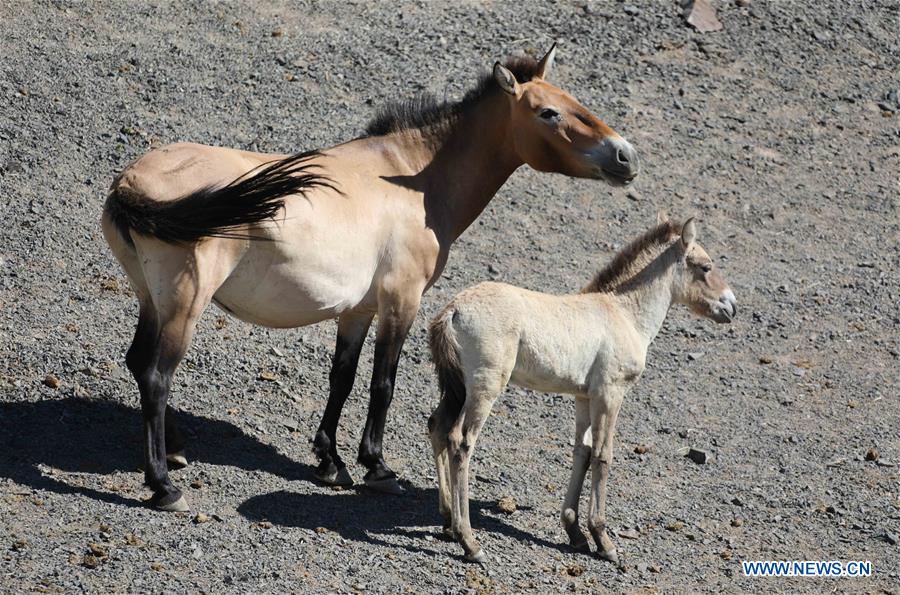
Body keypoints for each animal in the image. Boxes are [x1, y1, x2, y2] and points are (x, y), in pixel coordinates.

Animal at [100, 46, 640, 512]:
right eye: (548, 112)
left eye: (575, 101)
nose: (626, 157)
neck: (414, 180)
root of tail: (131, 181)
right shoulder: (401, 301)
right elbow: (384, 381)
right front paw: (376, 467)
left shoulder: (357, 310)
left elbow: (342, 377)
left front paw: (330, 461)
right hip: (185, 304)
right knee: (157, 376)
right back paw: (163, 484)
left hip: (153, 300)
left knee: (139, 364)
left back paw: (175, 450)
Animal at [428, 218, 740, 564]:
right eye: (706, 266)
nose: (731, 306)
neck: (624, 313)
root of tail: (453, 311)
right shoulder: (610, 393)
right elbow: (604, 456)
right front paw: (603, 540)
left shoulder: (584, 397)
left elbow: (583, 452)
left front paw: (575, 532)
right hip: (485, 387)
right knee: (460, 442)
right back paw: (469, 541)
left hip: (457, 387)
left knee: (437, 427)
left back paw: (446, 521)